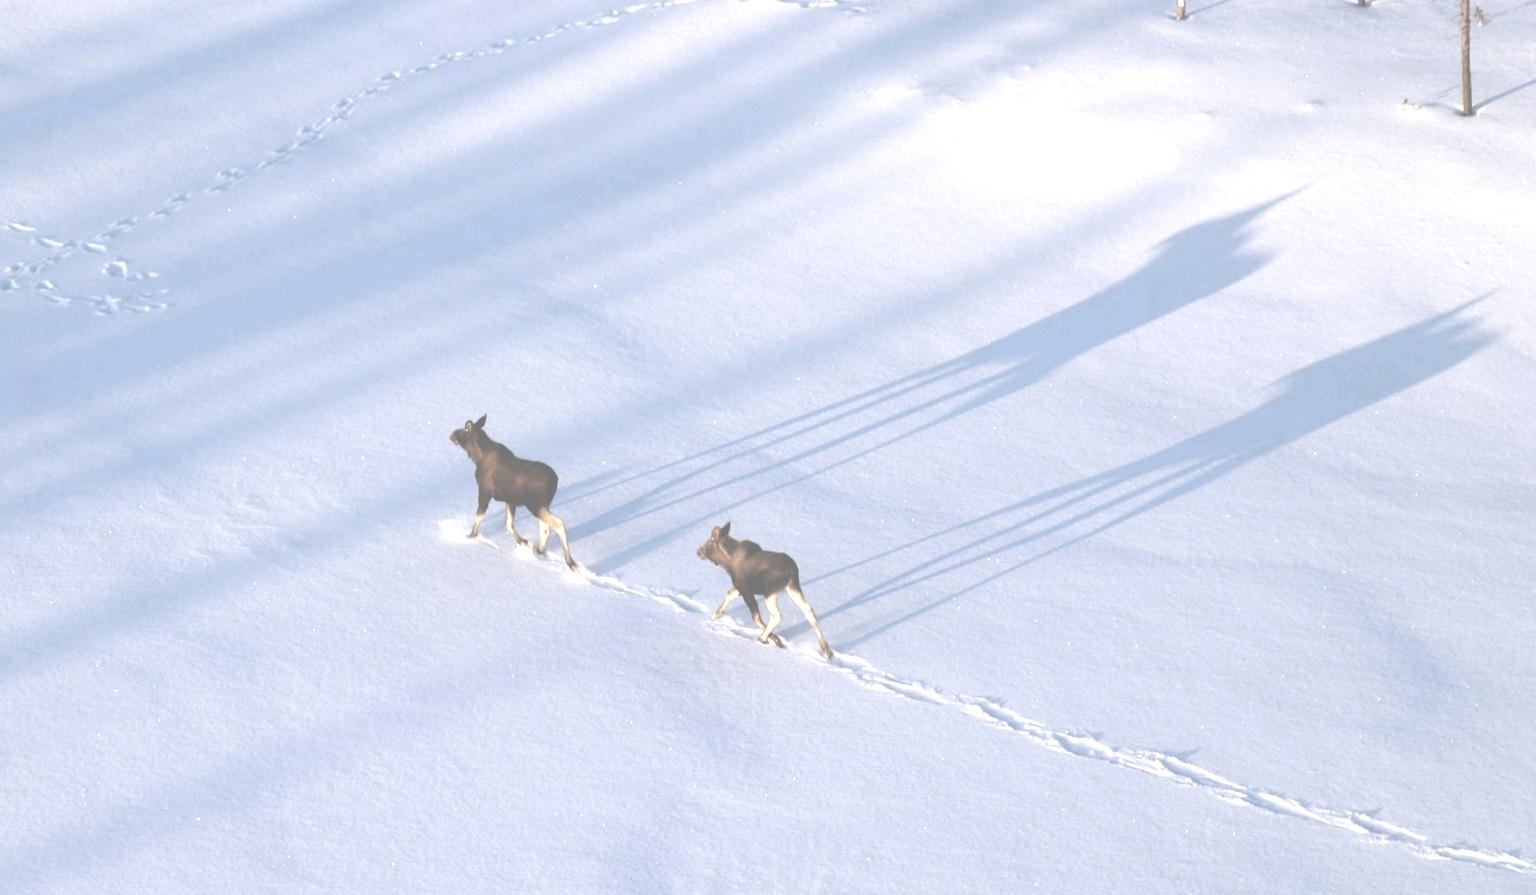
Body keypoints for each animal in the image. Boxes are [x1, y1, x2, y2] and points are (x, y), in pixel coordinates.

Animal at [454, 414, 580, 571]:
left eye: (463, 430)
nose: (452, 434)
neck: (477, 458)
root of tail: (555, 480)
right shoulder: (510, 501)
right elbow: (509, 524)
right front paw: (524, 542)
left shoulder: (484, 493)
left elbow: (479, 518)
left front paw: (470, 537)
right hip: (543, 506)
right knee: (545, 528)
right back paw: (539, 551)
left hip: (535, 506)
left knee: (558, 524)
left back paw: (570, 562)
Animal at [700, 521, 835, 663]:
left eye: (710, 540)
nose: (699, 551)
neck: (727, 564)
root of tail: (792, 571)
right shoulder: (740, 588)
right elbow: (729, 595)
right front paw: (716, 615)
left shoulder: (746, 590)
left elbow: (756, 618)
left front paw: (775, 639)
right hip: (793, 588)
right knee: (809, 611)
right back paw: (826, 649)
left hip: (770, 592)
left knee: (777, 616)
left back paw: (763, 638)